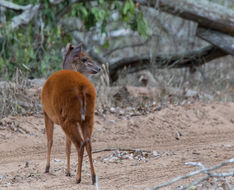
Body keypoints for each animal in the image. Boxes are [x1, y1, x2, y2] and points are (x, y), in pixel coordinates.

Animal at [41, 43, 100, 184]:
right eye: (84, 58)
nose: (99, 68)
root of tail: (81, 90)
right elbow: (67, 146)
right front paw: (67, 172)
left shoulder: (46, 113)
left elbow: (50, 141)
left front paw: (47, 168)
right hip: (87, 117)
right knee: (88, 142)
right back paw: (93, 177)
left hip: (68, 118)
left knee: (80, 144)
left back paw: (78, 178)